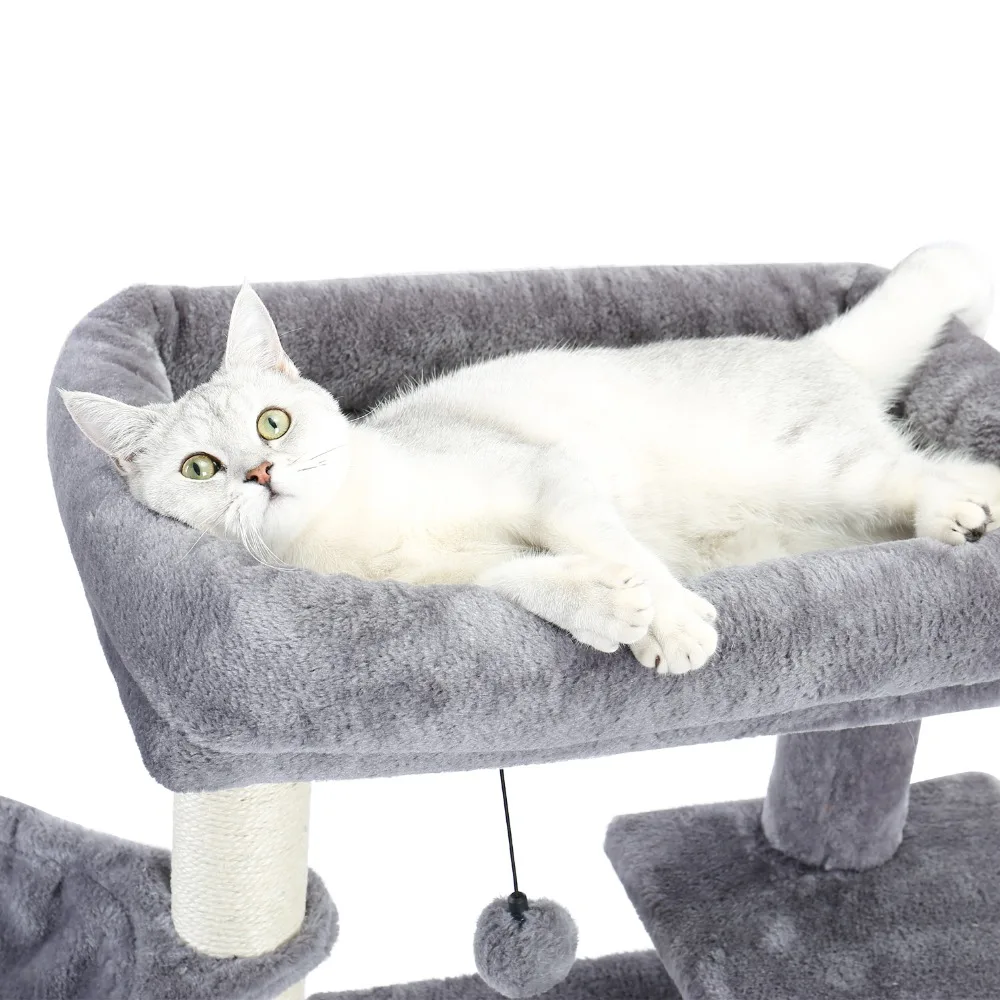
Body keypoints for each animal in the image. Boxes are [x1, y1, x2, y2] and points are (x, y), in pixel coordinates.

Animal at [61, 244, 999, 676]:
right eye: (199, 470)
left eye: (272, 422)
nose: (258, 474)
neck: (361, 534)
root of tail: (811, 348)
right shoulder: (469, 579)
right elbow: (525, 579)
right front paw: (607, 609)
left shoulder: (544, 478)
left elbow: (615, 546)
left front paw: (668, 621)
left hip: (814, 470)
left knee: (926, 472)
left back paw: (955, 515)